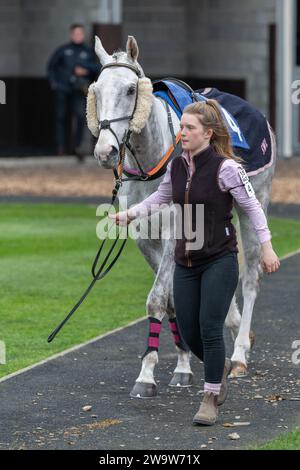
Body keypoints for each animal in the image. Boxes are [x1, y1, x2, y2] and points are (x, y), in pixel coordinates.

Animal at [85, 35, 276, 398]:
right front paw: (183, 365)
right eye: (96, 91)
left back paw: (240, 352)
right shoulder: (145, 238)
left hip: (253, 200)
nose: (105, 152)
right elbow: (173, 299)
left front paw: (146, 375)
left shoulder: (175, 232)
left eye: (131, 89)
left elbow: (158, 298)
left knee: (251, 276)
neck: (153, 160)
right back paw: (232, 325)